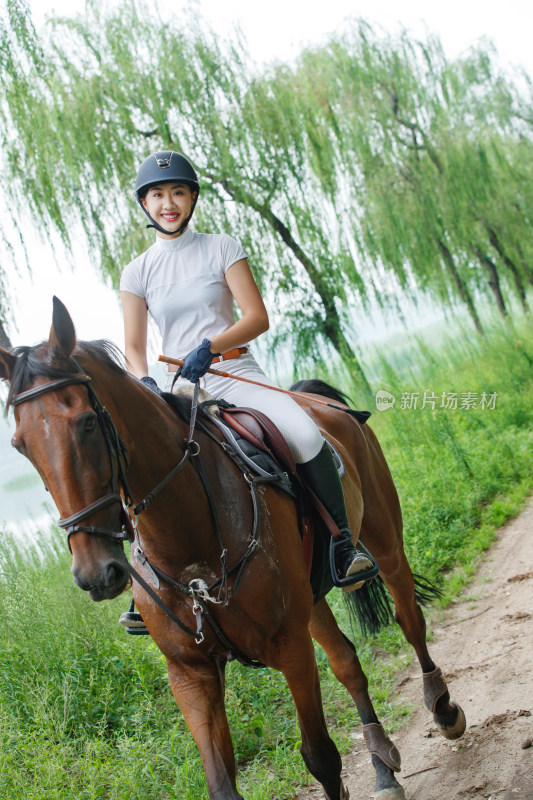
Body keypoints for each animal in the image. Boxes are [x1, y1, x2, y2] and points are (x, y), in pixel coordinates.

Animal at [0, 298, 466, 800]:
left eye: (87, 423)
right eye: (20, 445)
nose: (94, 573)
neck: (189, 549)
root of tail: (318, 402)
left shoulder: (290, 648)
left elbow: (321, 756)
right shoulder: (190, 672)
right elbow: (221, 782)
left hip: (385, 544)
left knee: (409, 619)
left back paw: (443, 709)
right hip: (311, 599)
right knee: (347, 662)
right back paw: (382, 766)